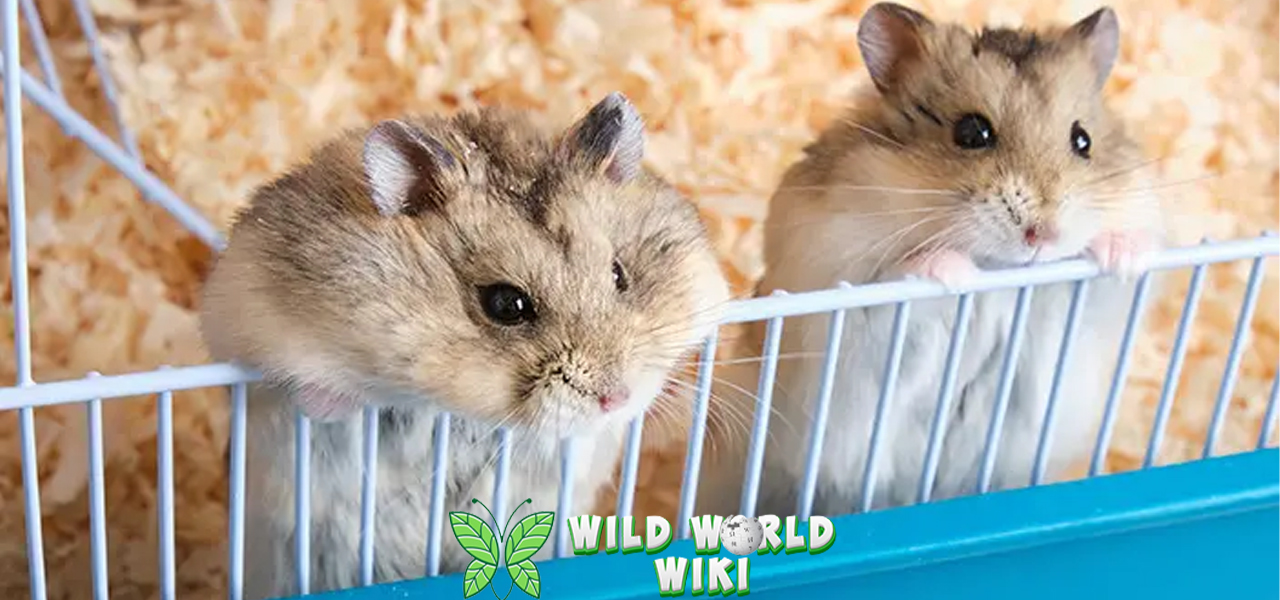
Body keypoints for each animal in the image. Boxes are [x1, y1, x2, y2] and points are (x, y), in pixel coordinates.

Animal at [696, 4, 1163, 518]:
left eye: (1083, 141)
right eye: (972, 132)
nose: (1042, 234)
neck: (1003, 269)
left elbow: (1111, 275)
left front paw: (1125, 254)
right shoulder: (838, 281)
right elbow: (899, 273)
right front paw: (956, 274)